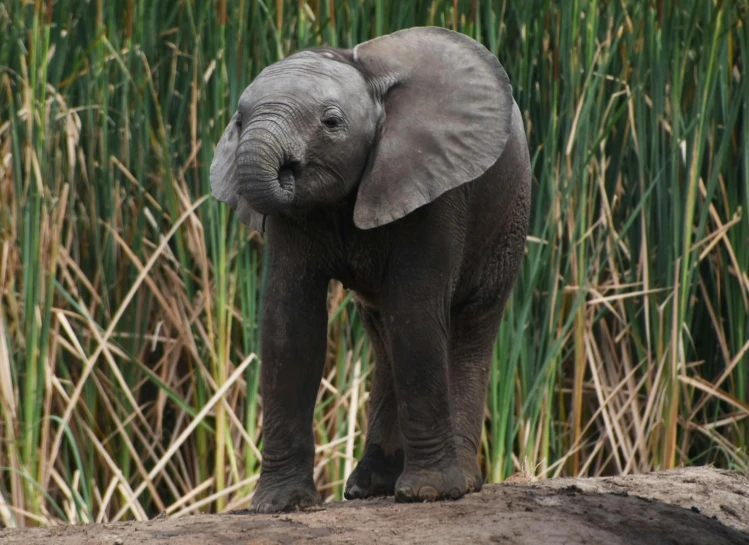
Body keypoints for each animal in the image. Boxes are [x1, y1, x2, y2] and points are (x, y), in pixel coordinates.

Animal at [207, 26, 528, 516]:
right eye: (238, 121)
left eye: (331, 122)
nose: (288, 170)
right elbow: (289, 325)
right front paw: (280, 506)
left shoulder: (435, 185)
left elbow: (416, 314)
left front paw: (429, 494)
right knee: (383, 333)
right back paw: (369, 488)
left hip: (509, 215)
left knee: (469, 325)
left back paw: (461, 484)